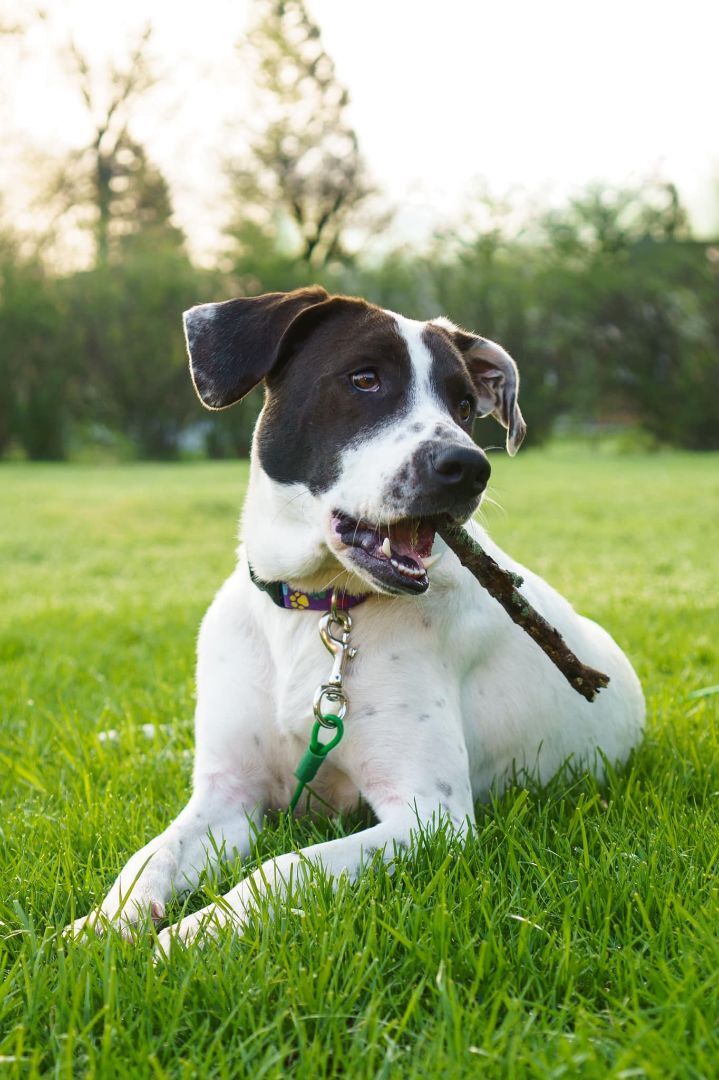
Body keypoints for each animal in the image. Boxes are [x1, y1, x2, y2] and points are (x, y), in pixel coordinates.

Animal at [67, 282, 639, 950]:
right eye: (364, 379)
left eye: (465, 405)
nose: (468, 467)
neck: (318, 609)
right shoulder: (227, 797)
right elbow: (149, 858)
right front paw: (99, 929)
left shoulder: (430, 816)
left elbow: (283, 866)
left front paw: (186, 940)